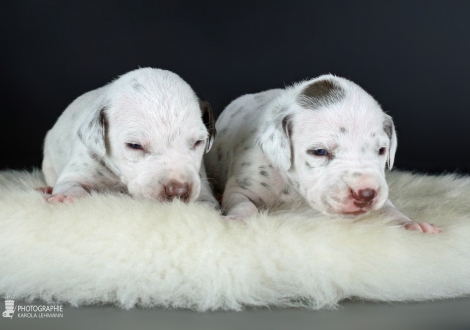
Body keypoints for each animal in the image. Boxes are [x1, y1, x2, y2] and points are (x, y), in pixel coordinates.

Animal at [41, 67, 218, 206]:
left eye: (198, 142)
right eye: (135, 145)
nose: (178, 191)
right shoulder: (79, 169)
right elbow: (70, 184)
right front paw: (66, 197)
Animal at [206, 75, 440, 233]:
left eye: (381, 150)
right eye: (319, 152)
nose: (366, 194)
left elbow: (390, 209)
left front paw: (410, 223)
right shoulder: (244, 184)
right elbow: (243, 203)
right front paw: (238, 219)